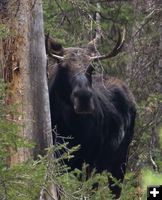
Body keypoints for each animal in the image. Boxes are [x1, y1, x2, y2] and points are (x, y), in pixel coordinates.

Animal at [45, 28, 135, 199]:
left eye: (91, 67)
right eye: (63, 67)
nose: (84, 97)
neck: (71, 127)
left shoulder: (90, 162)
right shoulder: (59, 160)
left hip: (120, 160)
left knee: (114, 191)